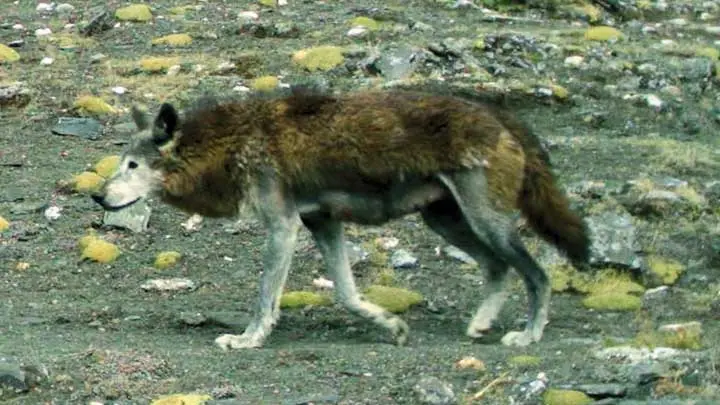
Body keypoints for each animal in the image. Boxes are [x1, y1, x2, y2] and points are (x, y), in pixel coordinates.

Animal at [91, 86, 591, 350]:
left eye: (131, 166)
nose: (97, 196)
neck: (229, 143)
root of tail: (499, 113)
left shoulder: (284, 227)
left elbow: (265, 298)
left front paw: (248, 339)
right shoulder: (322, 224)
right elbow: (348, 295)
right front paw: (391, 325)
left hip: (486, 221)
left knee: (538, 273)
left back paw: (528, 335)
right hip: (447, 222)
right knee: (498, 267)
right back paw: (480, 324)